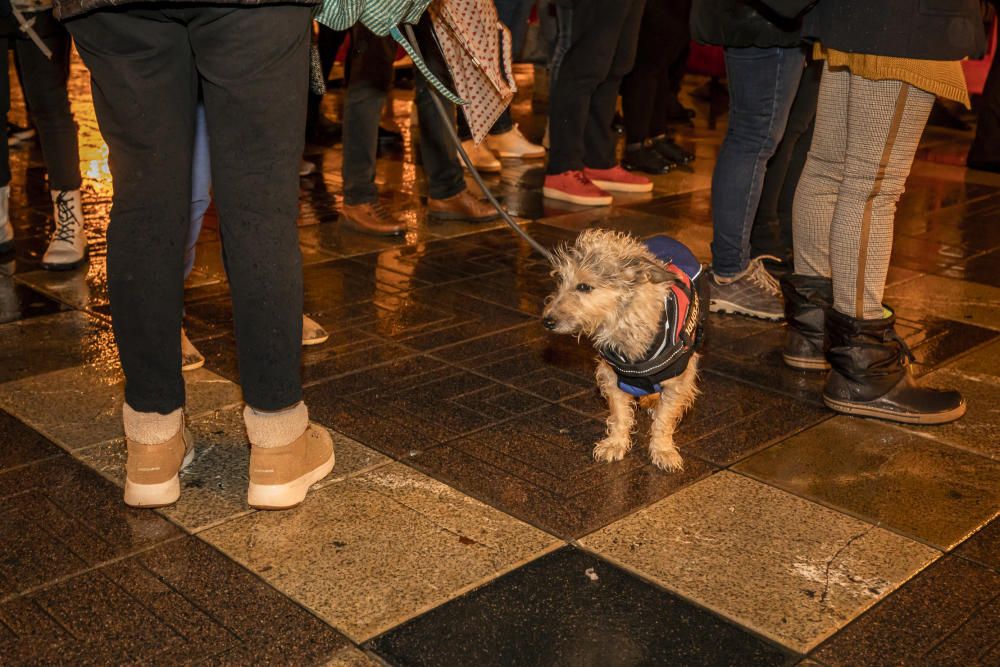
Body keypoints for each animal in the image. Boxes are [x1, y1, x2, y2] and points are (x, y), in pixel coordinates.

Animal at [544, 230, 708, 470]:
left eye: (584, 287)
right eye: (560, 281)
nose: (547, 321)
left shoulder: (678, 381)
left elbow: (664, 419)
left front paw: (663, 449)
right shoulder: (612, 376)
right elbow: (620, 415)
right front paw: (616, 443)